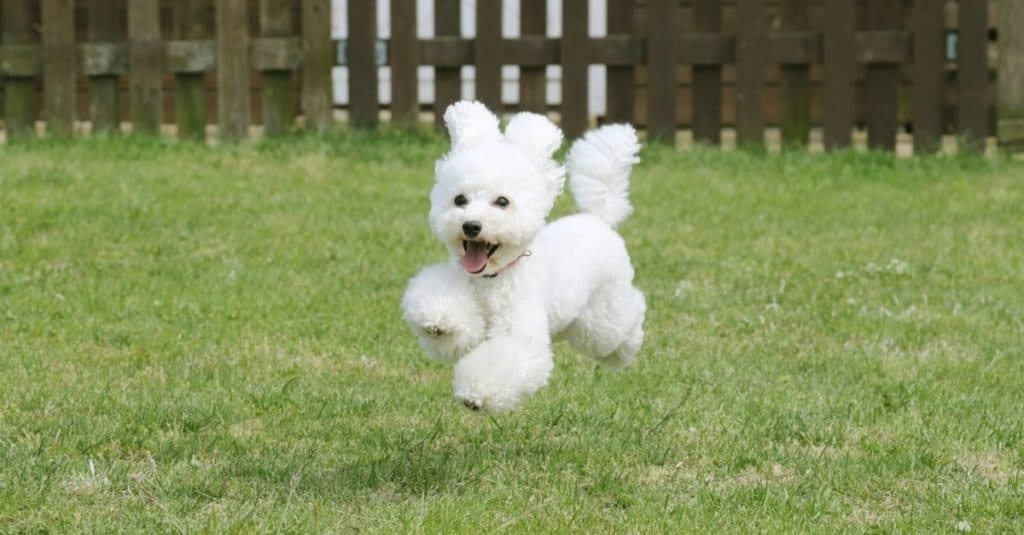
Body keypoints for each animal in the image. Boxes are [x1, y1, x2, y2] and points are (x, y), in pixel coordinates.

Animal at [401, 100, 647, 412]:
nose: (471, 226)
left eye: (502, 202)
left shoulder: (518, 331)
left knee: (625, 320)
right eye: (460, 199)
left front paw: (475, 394)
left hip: (602, 315)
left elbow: (505, 359)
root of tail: (598, 218)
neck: (491, 278)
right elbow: (453, 326)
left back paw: (625, 348)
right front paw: (440, 322)